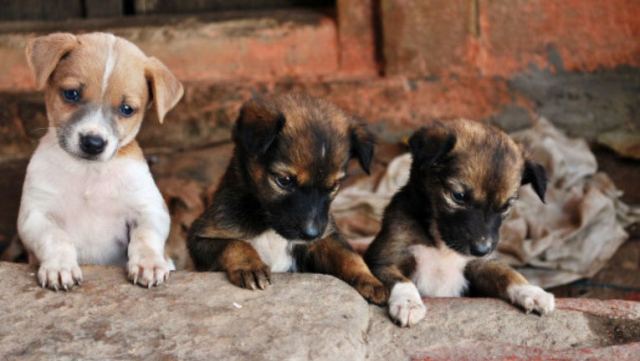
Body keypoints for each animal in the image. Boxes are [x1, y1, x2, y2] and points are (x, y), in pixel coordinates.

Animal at [18, 31, 182, 290]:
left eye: (127, 109)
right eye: (71, 94)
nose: (93, 143)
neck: (88, 172)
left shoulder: (149, 209)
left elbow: (145, 237)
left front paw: (149, 263)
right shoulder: (36, 214)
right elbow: (56, 238)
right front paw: (60, 267)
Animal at [185, 93, 384, 304]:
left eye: (334, 186)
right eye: (284, 180)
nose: (311, 234)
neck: (269, 227)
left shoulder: (325, 237)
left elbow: (348, 254)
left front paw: (370, 279)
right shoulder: (201, 236)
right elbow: (234, 243)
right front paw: (250, 266)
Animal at [364, 119, 556, 326]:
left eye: (506, 206)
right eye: (458, 196)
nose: (482, 250)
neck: (441, 245)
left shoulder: (479, 265)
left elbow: (506, 272)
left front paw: (532, 291)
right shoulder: (385, 258)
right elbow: (399, 280)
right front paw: (409, 303)